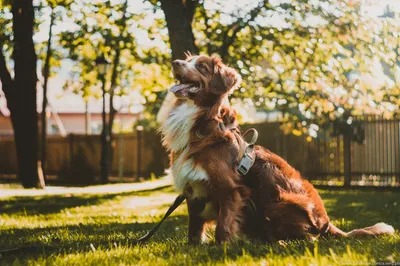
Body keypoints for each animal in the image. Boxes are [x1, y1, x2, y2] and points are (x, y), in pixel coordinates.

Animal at [159, 55, 394, 244]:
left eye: (200, 65)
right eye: (187, 60)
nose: (175, 62)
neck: (203, 126)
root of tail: (327, 223)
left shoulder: (231, 190)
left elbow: (223, 226)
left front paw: (221, 249)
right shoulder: (193, 189)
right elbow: (194, 227)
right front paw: (194, 247)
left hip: (279, 202)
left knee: (307, 238)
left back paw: (278, 242)